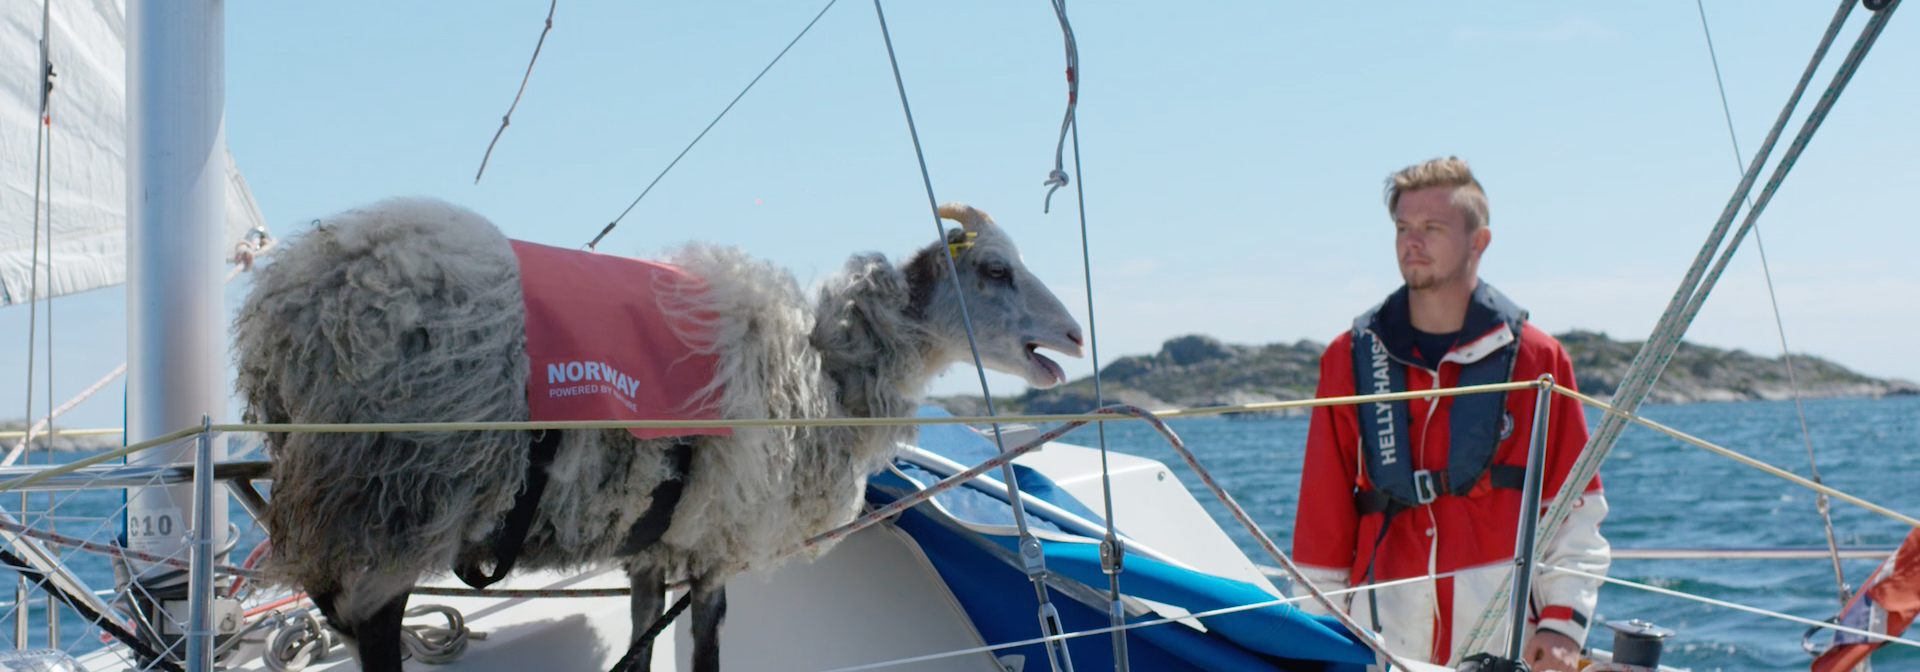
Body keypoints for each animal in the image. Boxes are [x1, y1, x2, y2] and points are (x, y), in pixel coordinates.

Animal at [228, 196, 1082, 668]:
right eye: (996, 270)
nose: (1074, 338)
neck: (829, 366)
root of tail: (288, 306)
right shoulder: (716, 539)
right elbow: (705, 645)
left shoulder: (653, 539)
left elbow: (642, 641)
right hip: (399, 488)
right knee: (374, 626)